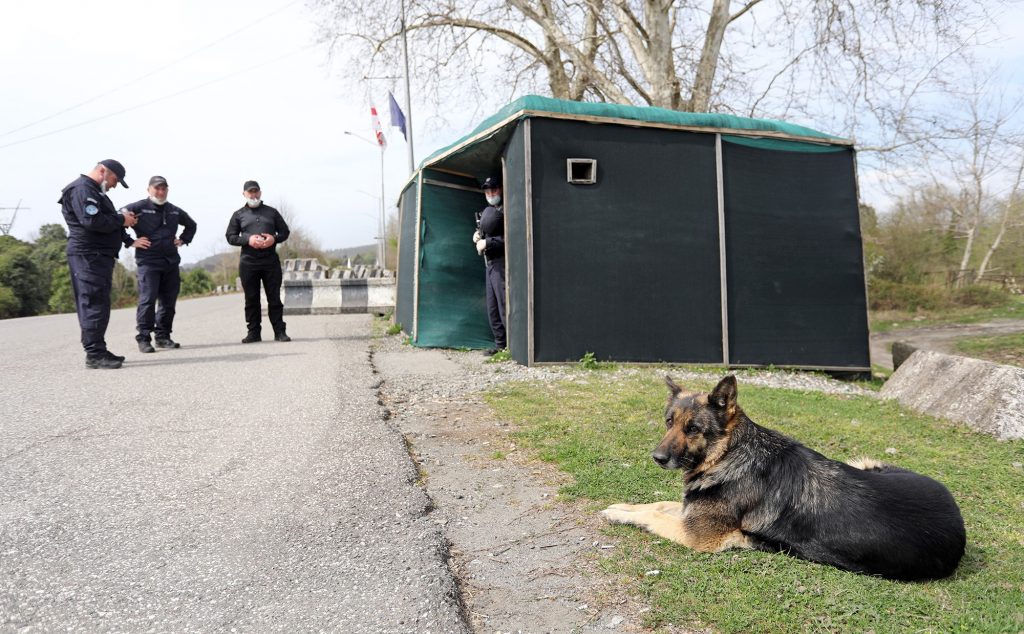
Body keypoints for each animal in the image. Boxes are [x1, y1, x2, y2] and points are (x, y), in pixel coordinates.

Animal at [602, 376, 962, 581]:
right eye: (669, 422)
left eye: (692, 429)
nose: (657, 458)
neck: (730, 454)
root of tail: (958, 519)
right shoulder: (690, 511)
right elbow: (655, 505)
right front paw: (621, 506)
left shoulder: (696, 535)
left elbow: (653, 515)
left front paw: (619, 513)